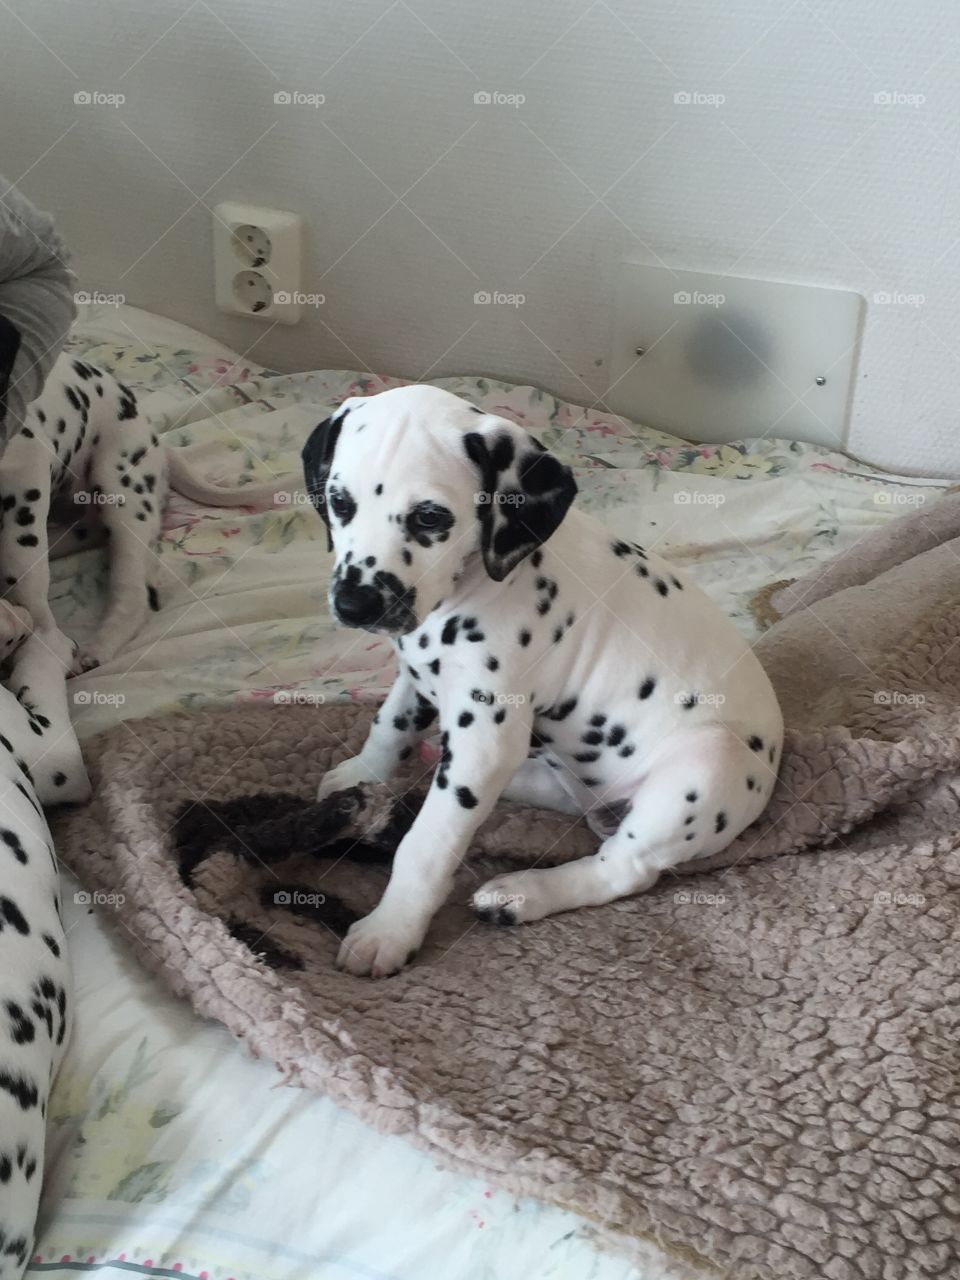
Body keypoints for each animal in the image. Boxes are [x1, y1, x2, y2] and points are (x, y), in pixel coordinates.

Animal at [0, 350, 291, 670]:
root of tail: (156, 441)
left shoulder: (25, 474)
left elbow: (29, 590)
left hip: (123, 492)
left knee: (134, 595)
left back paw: (97, 647)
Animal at [304, 384, 783, 972]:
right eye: (340, 502)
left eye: (430, 518)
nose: (356, 604)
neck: (478, 583)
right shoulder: (418, 675)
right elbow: (390, 725)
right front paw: (363, 775)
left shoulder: (484, 736)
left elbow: (427, 844)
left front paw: (391, 929)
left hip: (708, 763)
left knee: (620, 869)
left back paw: (521, 894)